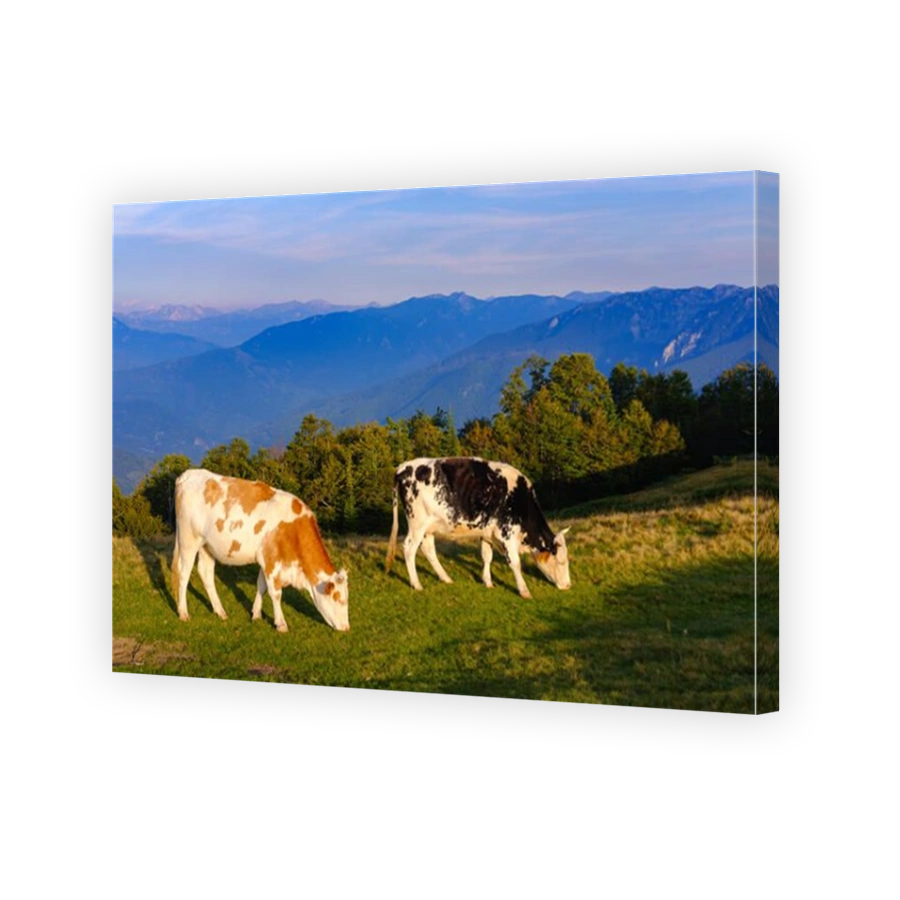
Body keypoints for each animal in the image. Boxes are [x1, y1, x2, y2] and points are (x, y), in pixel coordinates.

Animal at [172, 469, 349, 632]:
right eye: (338, 599)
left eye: (347, 599)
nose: (346, 628)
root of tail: (188, 474)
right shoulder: (271, 559)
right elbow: (275, 593)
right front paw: (281, 624)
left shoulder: (265, 559)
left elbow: (261, 586)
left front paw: (256, 614)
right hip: (188, 540)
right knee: (184, 573)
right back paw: (183, 613)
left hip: (207, 545)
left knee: (206, 573)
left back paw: (220, 611)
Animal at [385, 457, 571, 599]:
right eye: (561, 561)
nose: (568, 586)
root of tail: (402, 467)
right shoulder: (507, 533)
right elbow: (515, 563)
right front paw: (524, 591)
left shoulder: (487, 533)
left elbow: (487, 556)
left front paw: (487, 582)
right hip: (417, 524)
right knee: (409, 549)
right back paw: (416, 584)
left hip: (428, 527)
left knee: (428, 550)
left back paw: (446, 578)